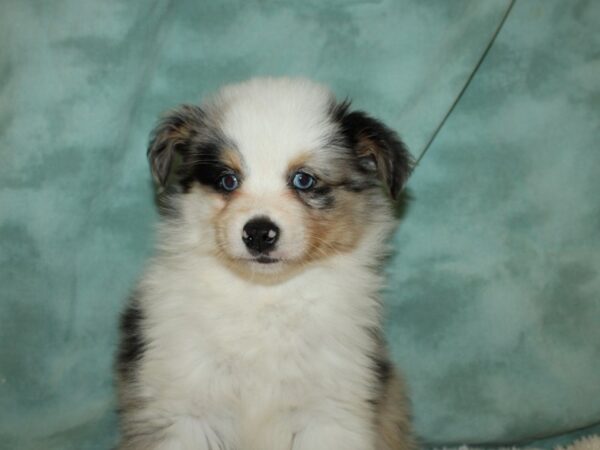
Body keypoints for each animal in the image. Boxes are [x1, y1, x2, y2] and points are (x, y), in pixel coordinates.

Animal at [117, 78, 418, 450]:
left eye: (304, 180)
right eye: (227, 180)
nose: (259, 233)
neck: (264, 295)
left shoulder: (329, 407)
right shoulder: (184, 403)